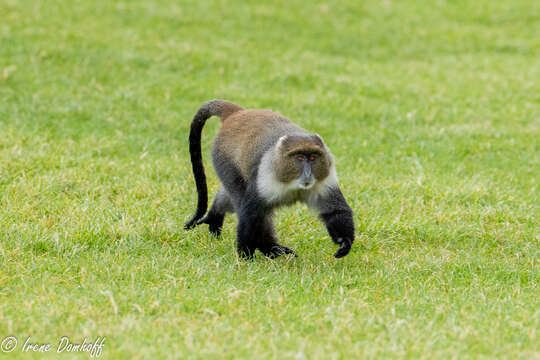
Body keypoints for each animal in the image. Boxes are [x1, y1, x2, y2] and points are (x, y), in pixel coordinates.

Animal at [184, 99, 356, 258]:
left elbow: (334, 211)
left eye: (313, 157)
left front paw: (344, 242)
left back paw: (216, 216)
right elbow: (251, 215)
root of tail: (237, 113)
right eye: (300, 157)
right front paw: (245, 256)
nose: (308, 174)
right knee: (240, 197)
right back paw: (269, 248)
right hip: (224, 160)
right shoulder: (263, 181)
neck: (292, 183)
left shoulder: (325, 180)